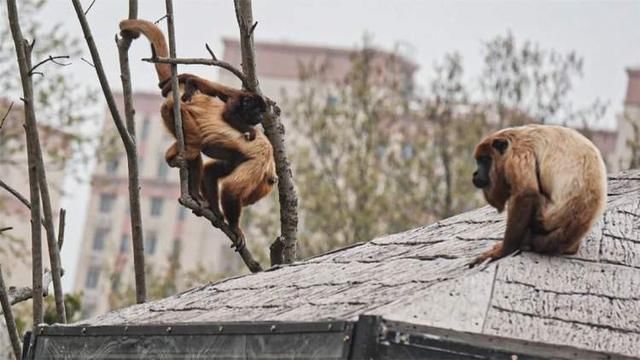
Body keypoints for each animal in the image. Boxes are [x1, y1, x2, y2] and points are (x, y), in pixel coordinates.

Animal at [121, 19, 276, 249]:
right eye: (257, 194)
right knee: (194, 146)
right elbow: (231, 189)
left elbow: (211, 173)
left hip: (169, 116)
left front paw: (217, 214)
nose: (249, 202)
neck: (269, 163)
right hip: (179, 112)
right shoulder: (259, 160)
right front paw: (235, 228)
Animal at [470, 124, 604, 268]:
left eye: (484, 160)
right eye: (478, 161)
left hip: (544, 221)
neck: (512, 139)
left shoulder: (518, 154)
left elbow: (526, 193)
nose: (475, 173)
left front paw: (503, 251)